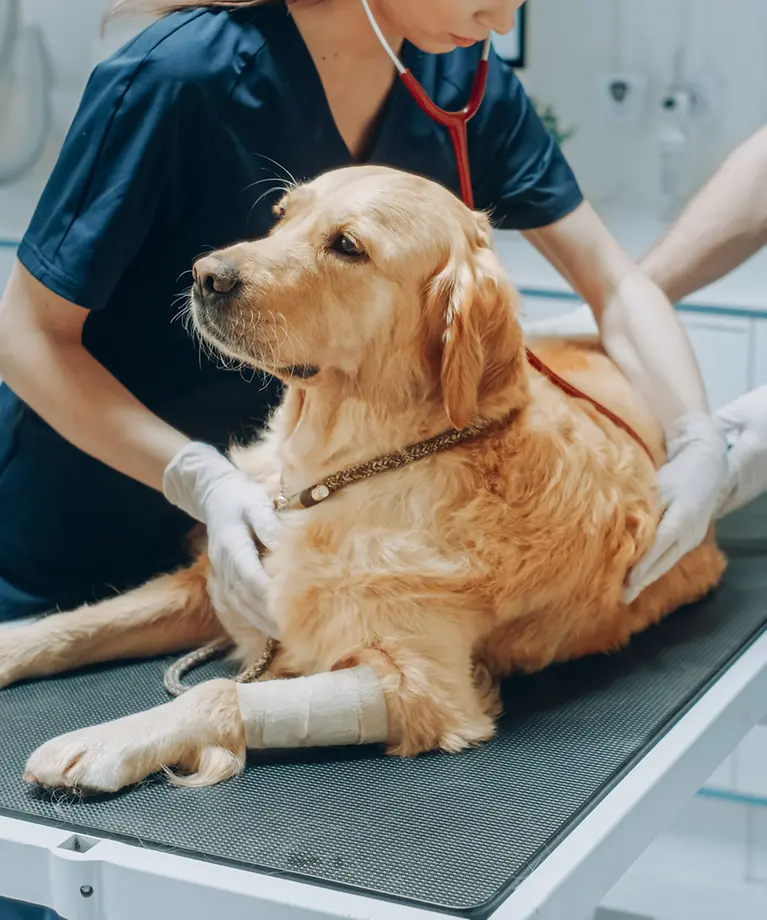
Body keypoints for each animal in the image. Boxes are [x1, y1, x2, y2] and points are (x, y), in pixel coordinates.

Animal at [0, 164, 728, 792]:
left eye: (347, 246)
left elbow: (220, 691)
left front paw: (104, 742)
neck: (341, 471)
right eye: (281, 215)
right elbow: (79, 624)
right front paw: (16, 646)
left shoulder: (424, 687)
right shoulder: (223, 579)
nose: (205, 275)